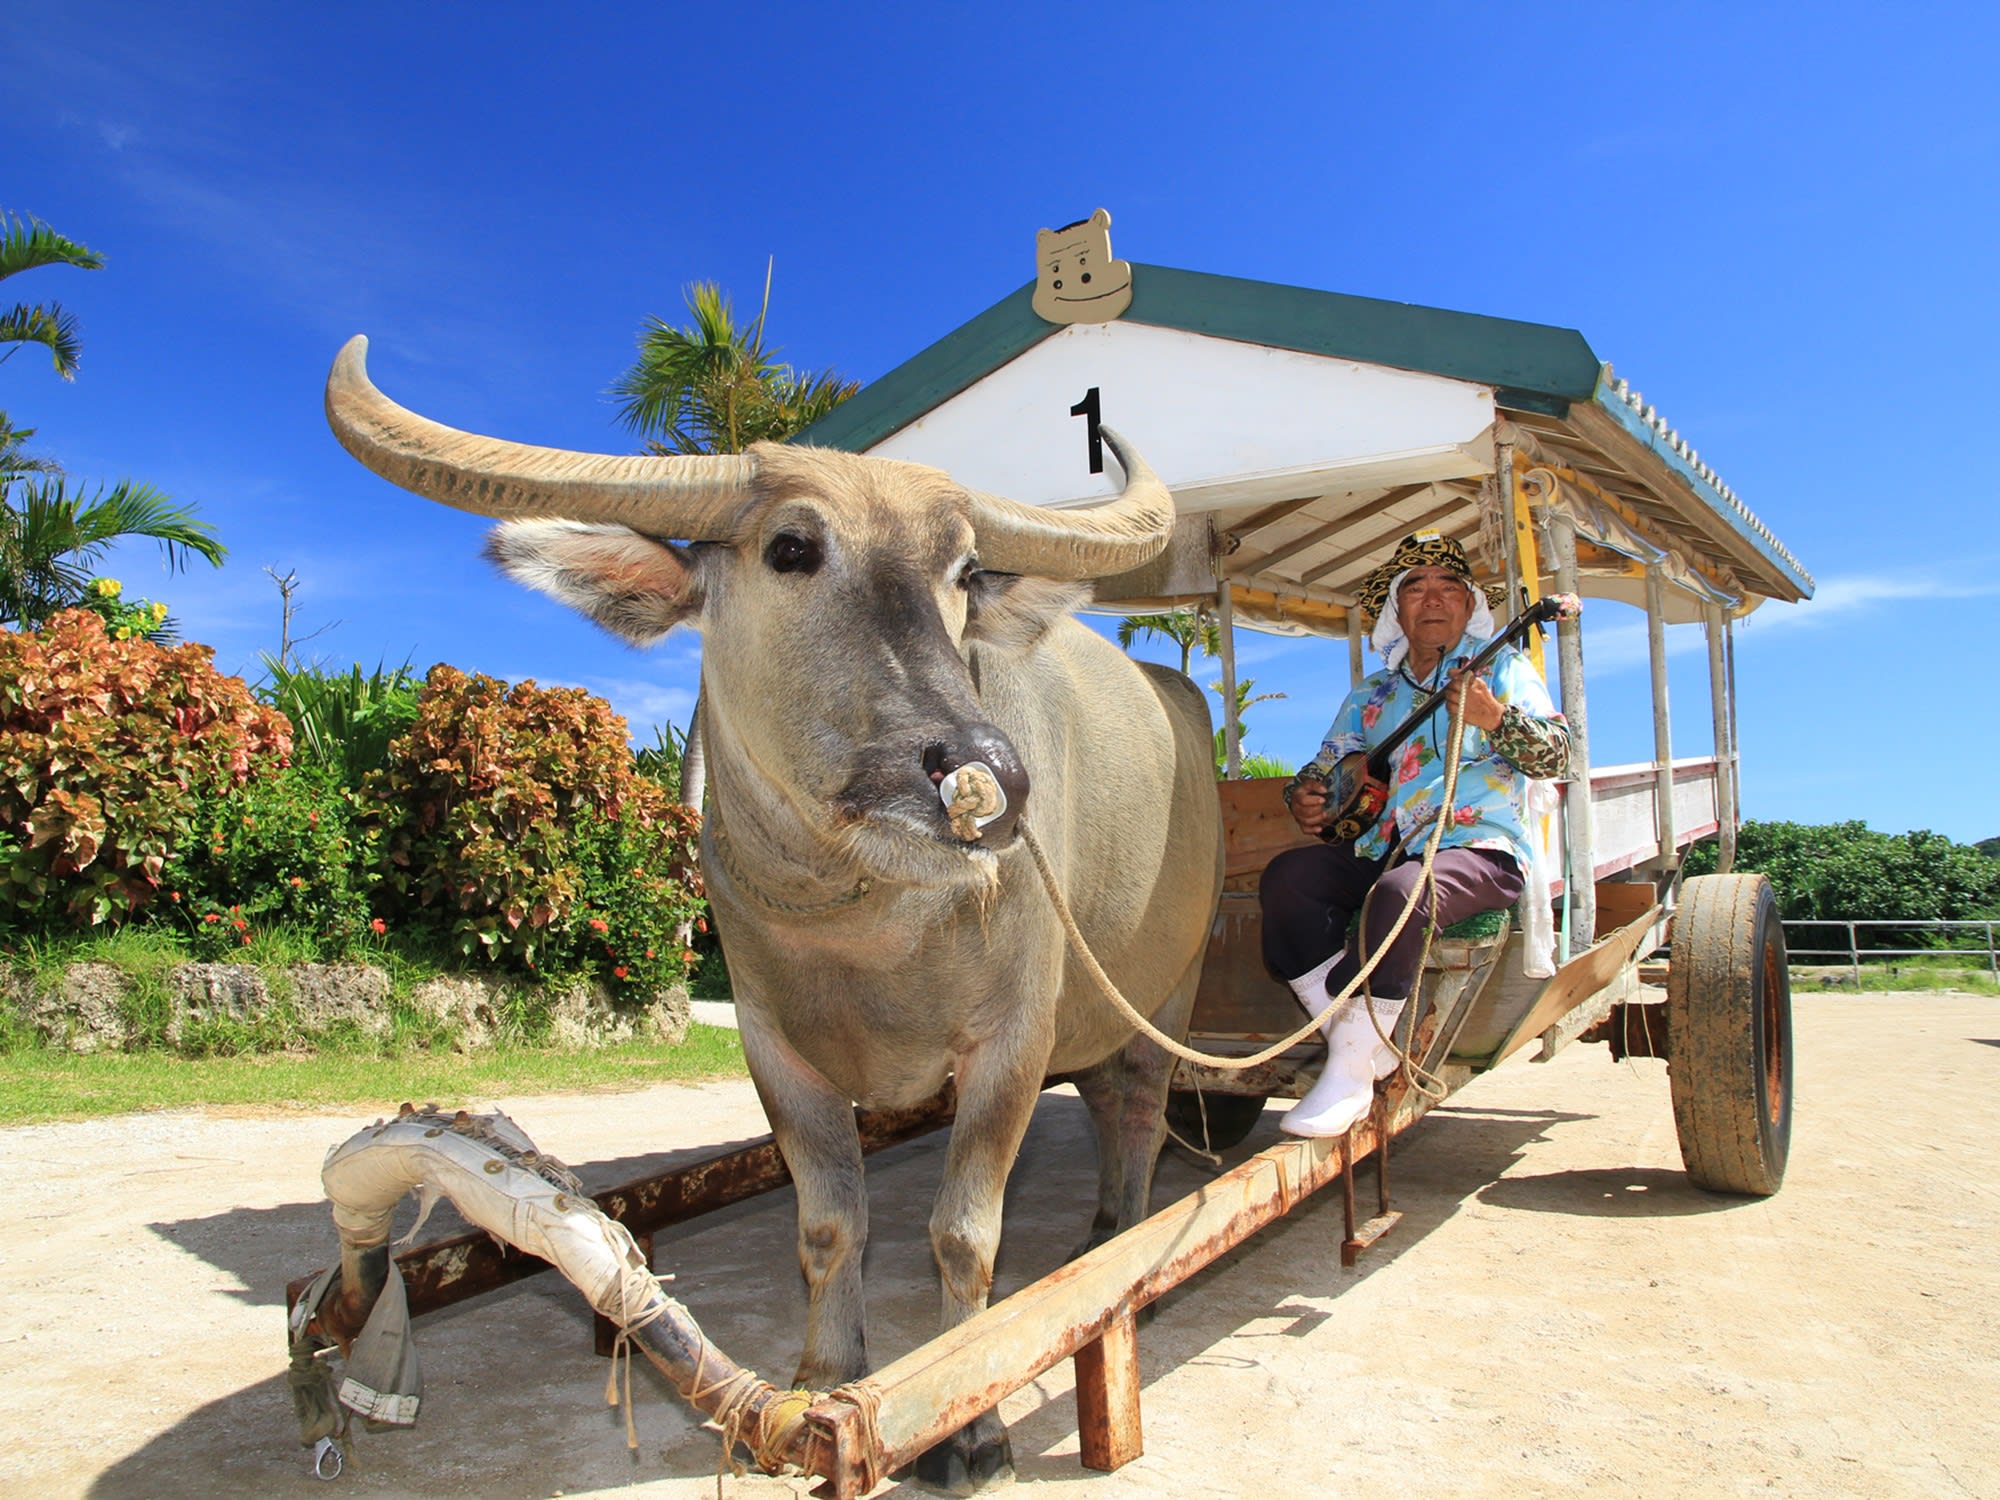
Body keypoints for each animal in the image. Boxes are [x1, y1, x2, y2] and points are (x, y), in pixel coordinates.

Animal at [328, 340, 1216, 1496]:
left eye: (963, 571)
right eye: (791, 547)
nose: (987, 777)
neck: (863, 924)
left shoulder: (1012, 1041)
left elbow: (962, 1235)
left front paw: (971, 1427)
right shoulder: (774, 1049)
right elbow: (829, 1227)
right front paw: (821, 1377)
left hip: (1170, 992)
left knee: (1141, 1112)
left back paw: (1122, 1237)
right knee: (1110, 1102)